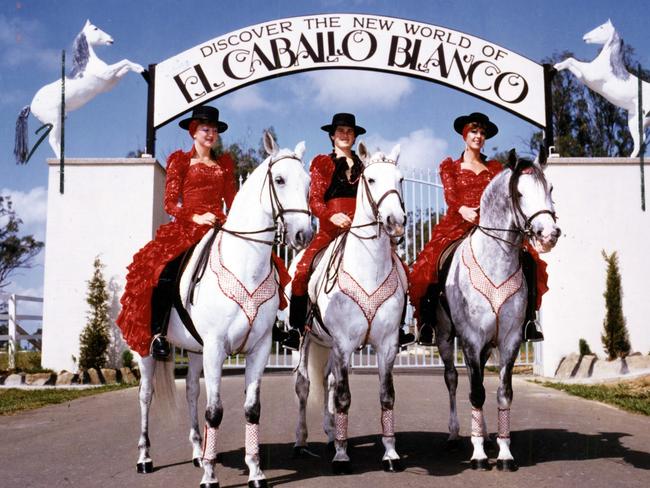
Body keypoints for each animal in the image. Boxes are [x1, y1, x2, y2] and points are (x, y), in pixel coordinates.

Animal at [14, 19, 143, 164]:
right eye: (95, 28)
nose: (111, 39)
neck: (87, 65)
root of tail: (31, 105)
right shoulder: (107, 74)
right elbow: (124, 62)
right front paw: (140, 68)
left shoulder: (111, 82)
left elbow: (125, 67)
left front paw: (139, 68)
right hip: (54, 121)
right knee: (52, 140)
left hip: (56, 122)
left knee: (57, 141)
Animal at [135, 132, 310, 488]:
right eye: (280, 179)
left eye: (309, 183)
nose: (304, 234)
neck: (245, 263)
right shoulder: (216, 348)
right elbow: (214, 412)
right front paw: (210, 476)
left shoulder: (257, 349)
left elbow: (251, 409)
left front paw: (255, 472)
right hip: (145, 348)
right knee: (145, 395)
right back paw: (145, 458)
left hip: (194, 350)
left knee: (190, 391)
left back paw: (197, 453)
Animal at [292, 143, 404, 474]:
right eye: (371, 180)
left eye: (401, 179)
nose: (396, 221)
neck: (369, 267)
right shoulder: (343, 344)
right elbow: (343, 398)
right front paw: (342, 458)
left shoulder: (387, 344)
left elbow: (386, 396)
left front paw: (390, 453)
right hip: (305, 340)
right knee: (304, 386)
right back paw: (302, 442)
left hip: (327, 346)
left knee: (327, 382)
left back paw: (331, 437)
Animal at [430, 150, 556, 472]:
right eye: (520, 193)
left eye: (550, 189)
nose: (549, 234)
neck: (495, 263)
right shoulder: (471, 339)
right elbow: (475, 393)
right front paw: (476, 456)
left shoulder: (510, 341)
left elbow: (502, 393)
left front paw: (504, 453)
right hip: (446, 338)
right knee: (453, 379)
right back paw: (454, 435)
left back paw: (486, 435)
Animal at [552, 18, 648, 156]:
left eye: (601, 27)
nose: (584, 37)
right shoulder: (584, 76)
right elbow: (571, 64)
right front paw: (557, 67)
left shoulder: (589, 74)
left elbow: (571, 60)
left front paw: (556, 66)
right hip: (633, 119)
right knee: (641, 139)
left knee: (641, 139)